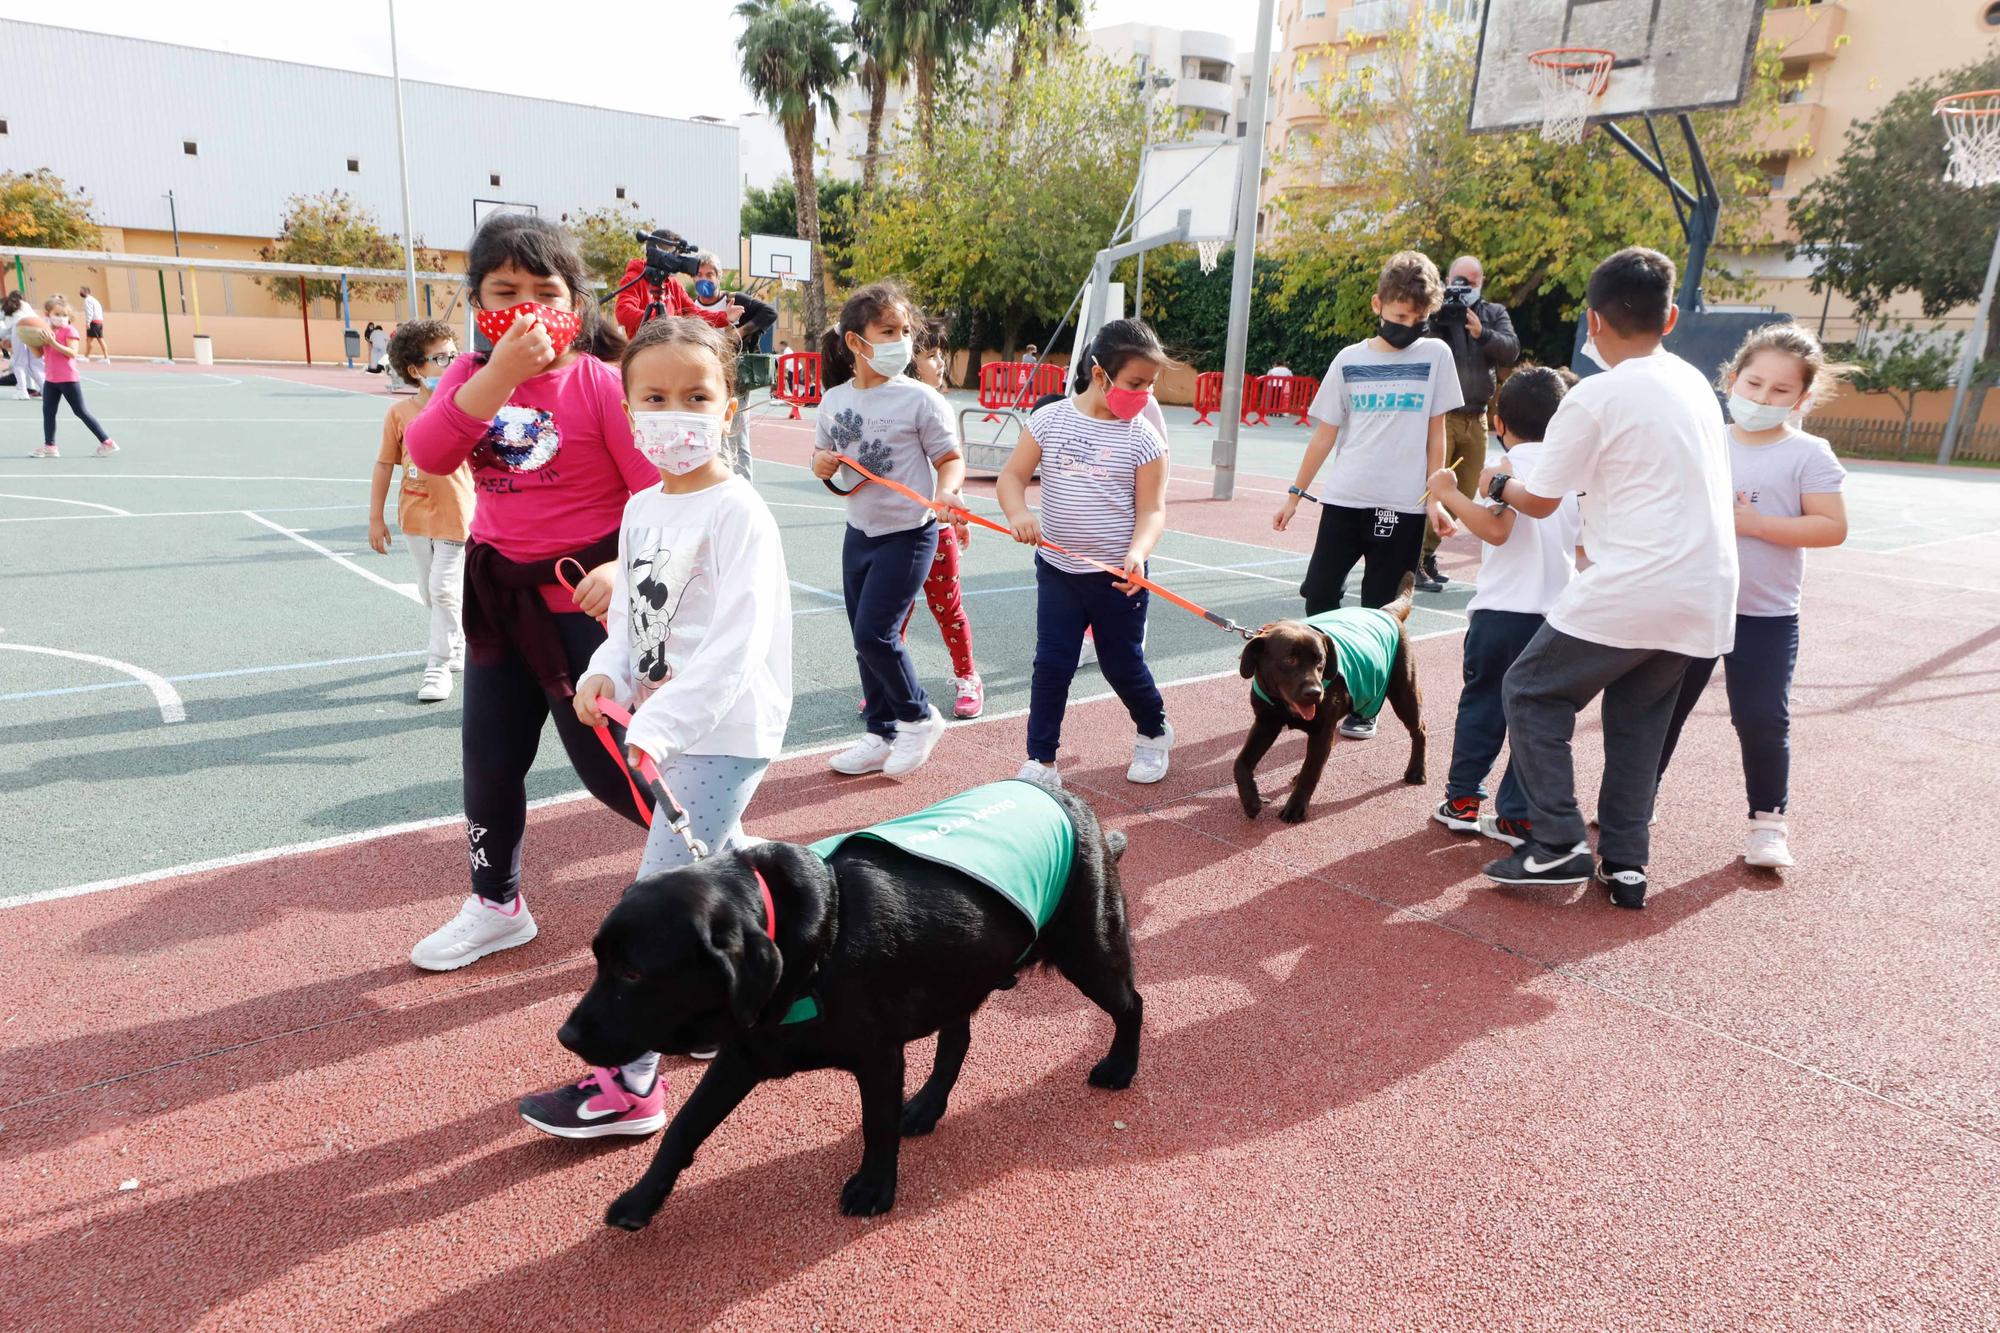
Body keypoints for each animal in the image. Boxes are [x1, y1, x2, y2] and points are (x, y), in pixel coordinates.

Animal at [552, 780, 1144, 1224]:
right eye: (599, 961)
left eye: (633, 972)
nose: (567, 1036)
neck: (815, 941)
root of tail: (1072, 800)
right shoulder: (744, 1052)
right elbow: (683, 1128)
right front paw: (642, 1199)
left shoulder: (878, 1056)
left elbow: (875, 1124)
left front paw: (874, 1189)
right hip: (961, 971)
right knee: (957, 1041)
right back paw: (926, 1106)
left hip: (1089, 950)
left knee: (1131, 1003)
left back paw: (1120, 1066)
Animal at [1224, 572, 1432, 820]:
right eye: (1289, 660)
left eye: (1320, 661)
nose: (1315, 693)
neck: (1283, 705)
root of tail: (1386, 612)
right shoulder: (1266, 723)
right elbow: (1240, 763)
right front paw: (1251, 801)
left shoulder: (1322, 730)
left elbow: (1311, 772)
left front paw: (1295, 808)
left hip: (1404, 694)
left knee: (1420, 730)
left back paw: (1416, 771)